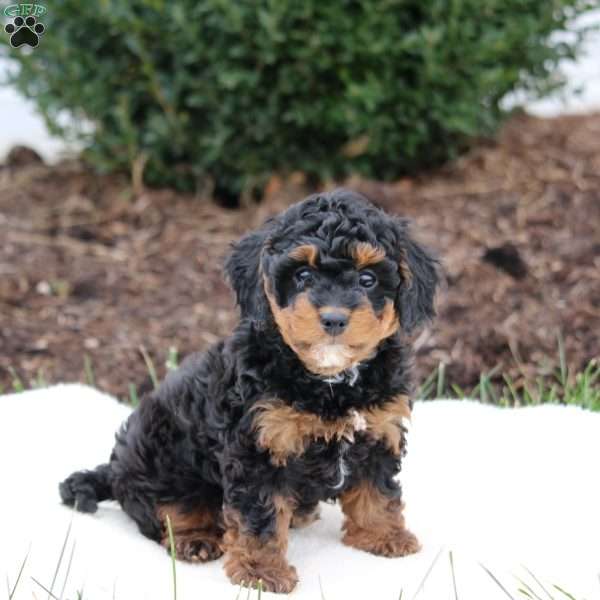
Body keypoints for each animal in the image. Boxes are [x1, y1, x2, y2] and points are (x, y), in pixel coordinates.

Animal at [58, 190, 438, 592]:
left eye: (368, 279)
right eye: (302, 275)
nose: (334, 318)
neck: (330, 382)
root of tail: (115, 471)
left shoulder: (379, 429)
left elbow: (377, 490)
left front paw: (383, 536)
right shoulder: (258, 447)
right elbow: (260, 516)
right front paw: (261, 571)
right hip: (160, 456)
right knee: (166, 508)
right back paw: (195, 537)